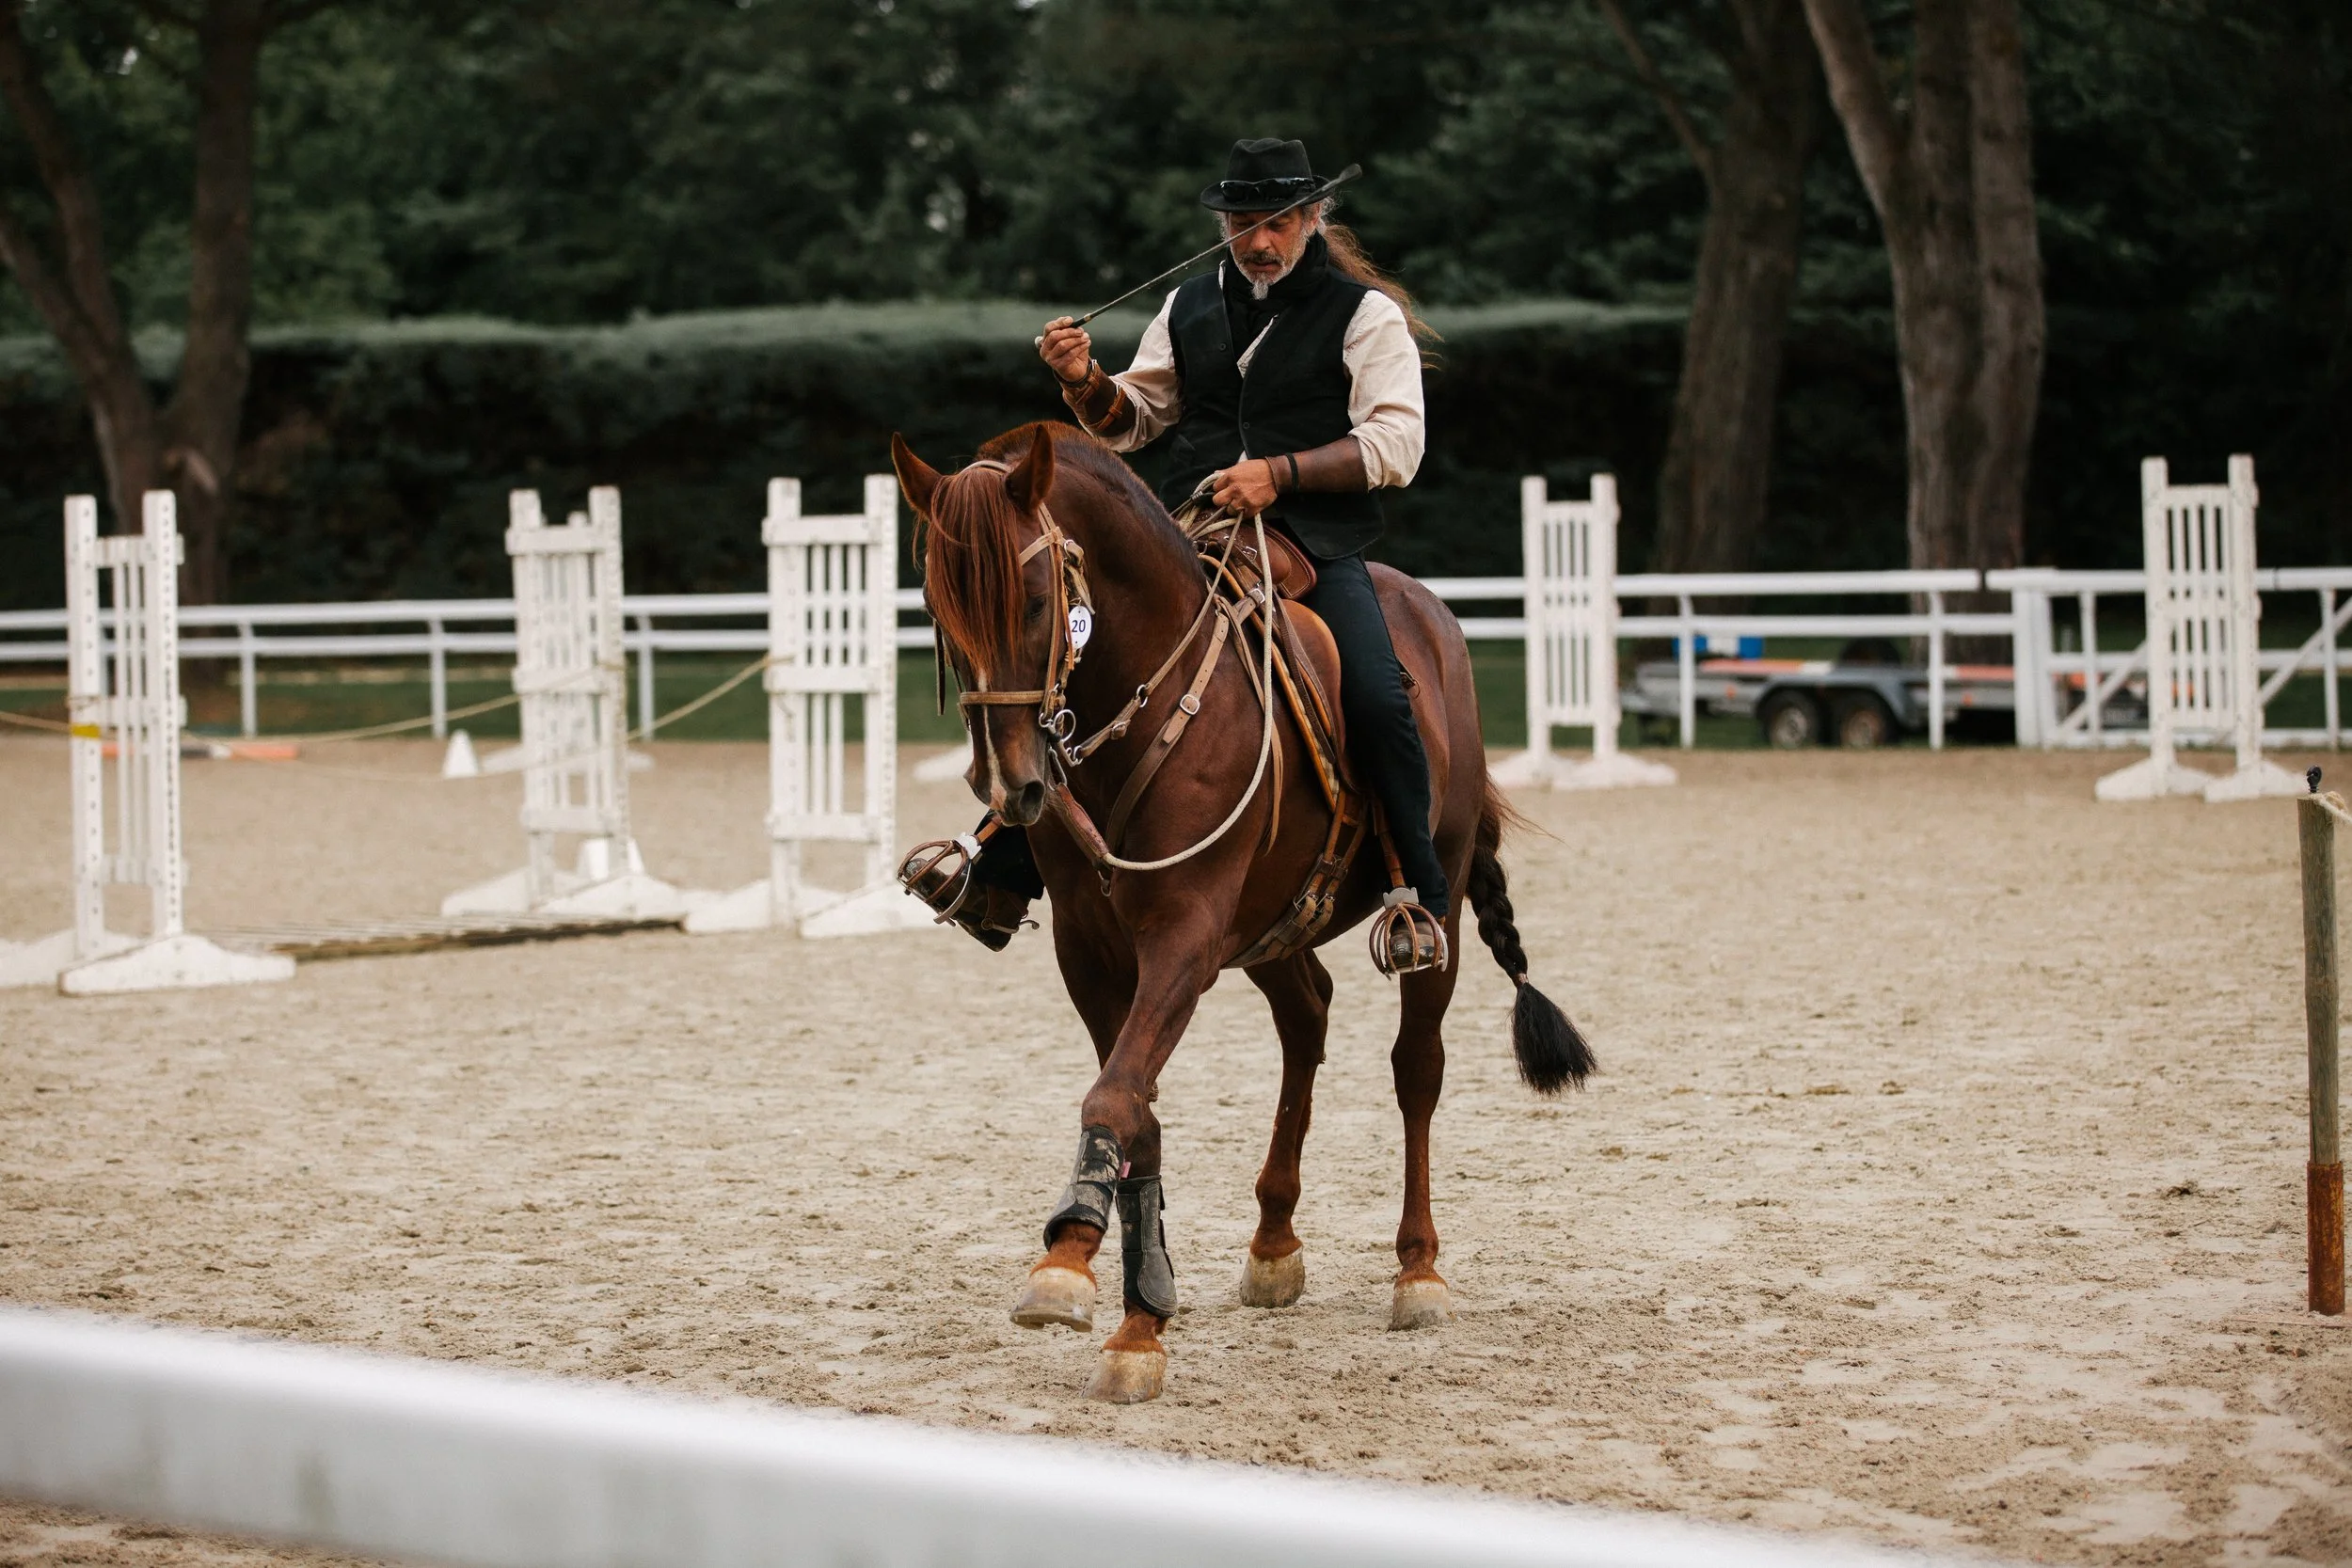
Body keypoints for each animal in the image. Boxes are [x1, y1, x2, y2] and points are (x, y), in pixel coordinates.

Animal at [890, 421, 1594, 1403]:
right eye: (937, 606)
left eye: (1033, 599)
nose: (1012, 785)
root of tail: (1432, 617)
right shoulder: (1088, 948)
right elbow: (1136, 1103)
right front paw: (1141, 1313)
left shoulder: (1184, 937)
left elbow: (1115, 1094)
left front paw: (1069, 1265)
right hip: (1274, 931)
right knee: (1307, 1021)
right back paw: (1273, 1241)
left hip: (1441, 907)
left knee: (1417, 1069)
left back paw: (1418, 1269)